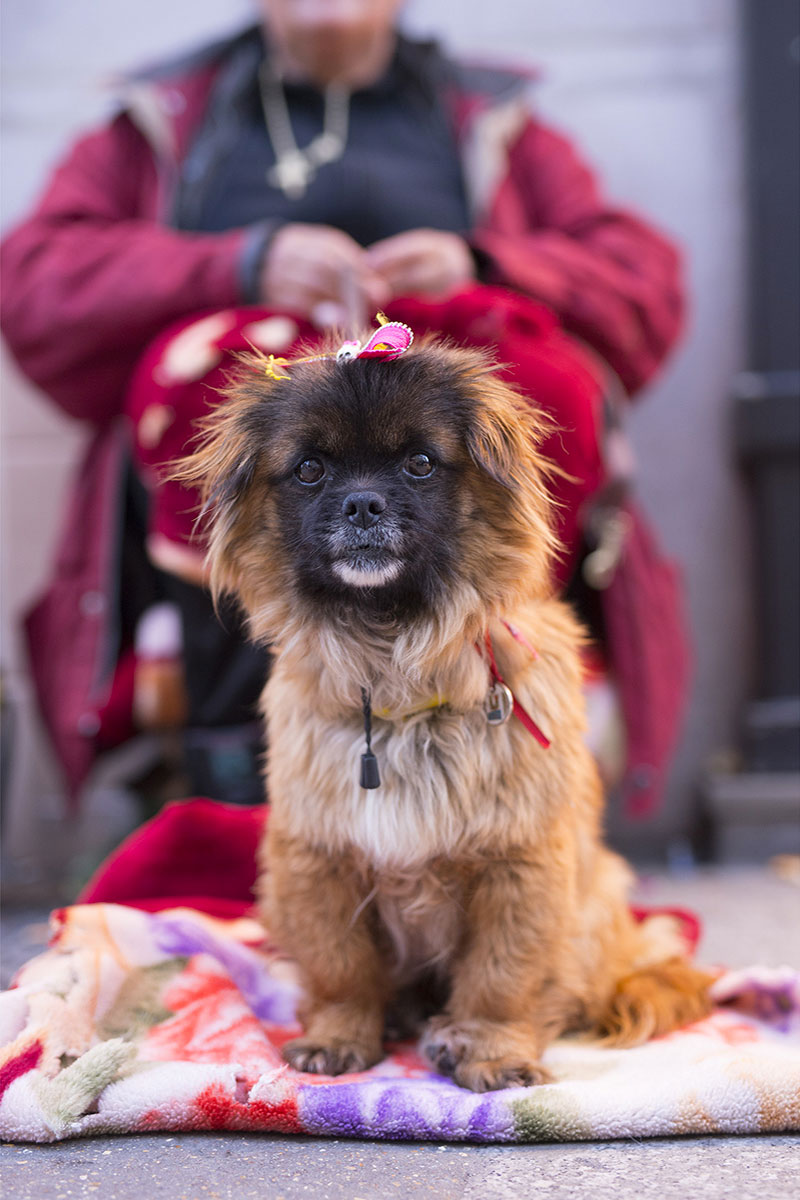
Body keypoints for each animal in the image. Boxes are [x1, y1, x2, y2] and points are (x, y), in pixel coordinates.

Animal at [178, 330, 711, 1092]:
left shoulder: (520, 868)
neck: (396, 678)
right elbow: (341, 970)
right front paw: (340, 1037)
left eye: (421, 463)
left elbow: (501, 975)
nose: (363, 504)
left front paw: (490, 1049)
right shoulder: (315, 862)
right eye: (309, 470)